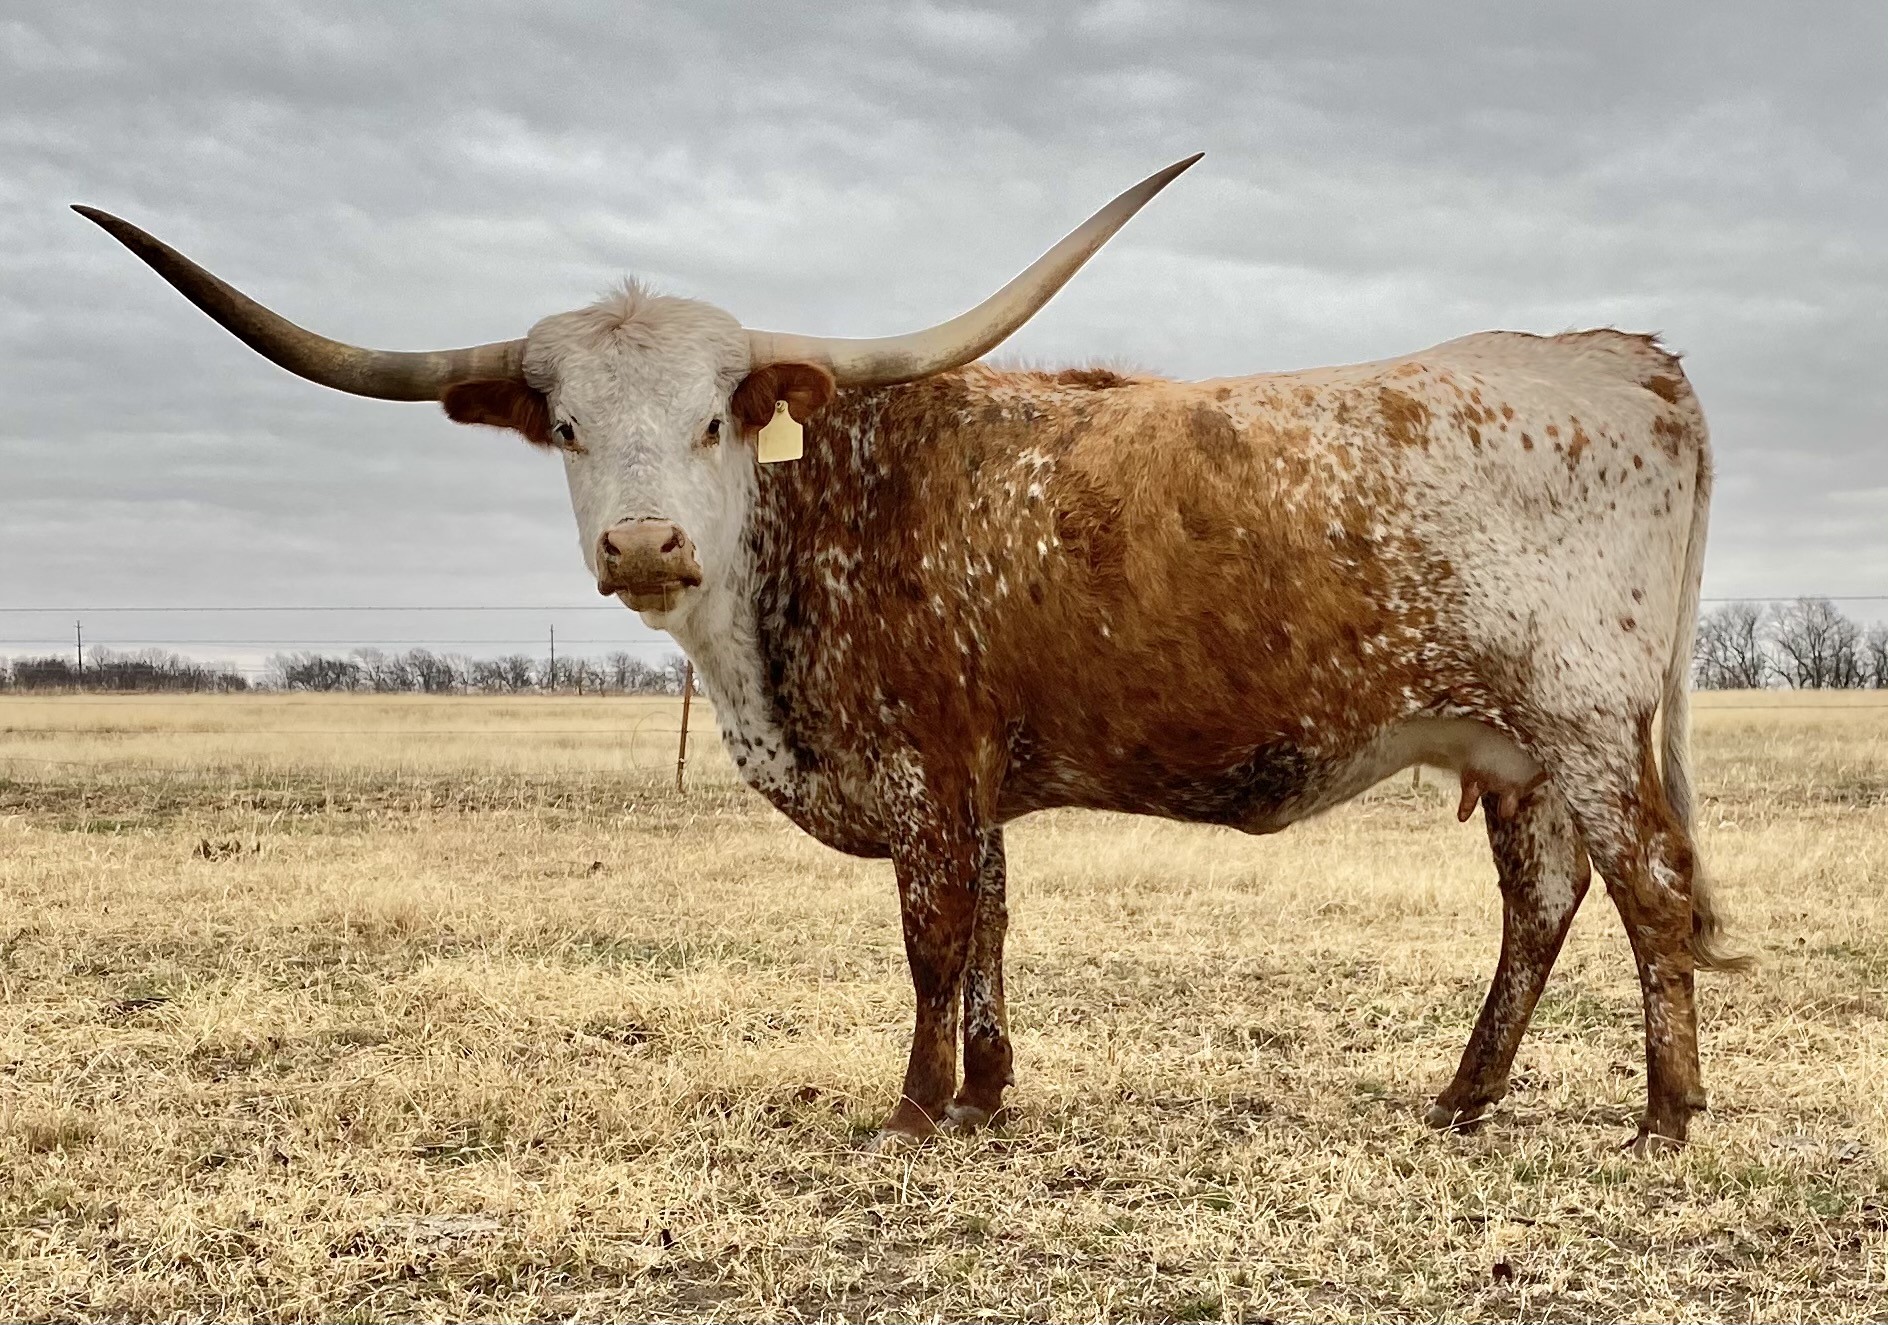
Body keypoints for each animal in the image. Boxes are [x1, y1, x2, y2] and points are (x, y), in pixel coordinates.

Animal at [76, 154, 1746, 1154]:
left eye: (718, 417)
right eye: (563, 423)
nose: (645, 547)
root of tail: (1621, 358)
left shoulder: (927, 776)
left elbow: (936, 940)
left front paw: (917, 1107)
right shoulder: (978, 787)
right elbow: (996, 928)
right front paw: (993, 1098)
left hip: (1586, 722)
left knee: (1651, 894)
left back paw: (1665, 1116)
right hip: (1511, 747)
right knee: (1541, 902)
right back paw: (1465, 1095)